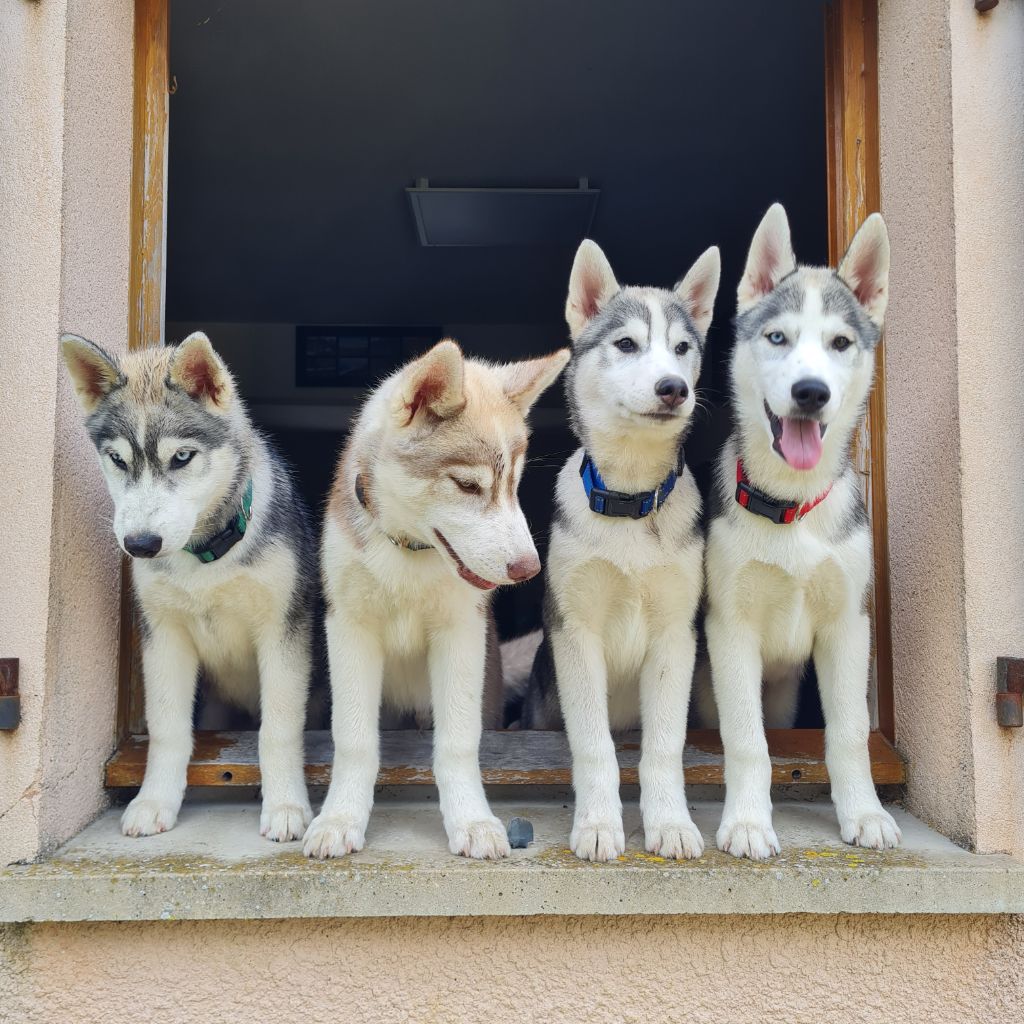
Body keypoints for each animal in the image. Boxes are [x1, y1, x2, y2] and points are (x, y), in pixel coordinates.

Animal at [60, 335, 315, 839]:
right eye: (117, 460)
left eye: (181, 457)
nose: (140, 544)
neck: (207, 557)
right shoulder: (163, 637)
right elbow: (167, 727)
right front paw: (155, 800)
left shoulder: (283, 631)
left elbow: (278, 728)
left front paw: (285, 806)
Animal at [305, 339, 569, 860]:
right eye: (467, 485)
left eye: (514, 484)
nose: (529, 569)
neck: (409, 552)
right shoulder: (349, 630)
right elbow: (354, 739)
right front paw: (340, 818)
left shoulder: (461, 634)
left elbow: (458, 741)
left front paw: (471, 820)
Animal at [520, 241, 720, 864]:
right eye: (627, 344)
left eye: (682, 349)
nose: (673, 387)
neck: (631, 501)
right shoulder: (575, 634)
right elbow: (595, 747)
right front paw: (598, 825)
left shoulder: (676, 636)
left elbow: (663, 748)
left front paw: (671, 823)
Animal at [708, 203, 901, 860]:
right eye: (777, 338)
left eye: (840, 343)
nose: (810, 393)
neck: (790, 507)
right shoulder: (730, 629)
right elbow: (748, 741)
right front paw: (747, 822)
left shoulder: (847, 627)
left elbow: (848, 734)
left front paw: (863, 813)